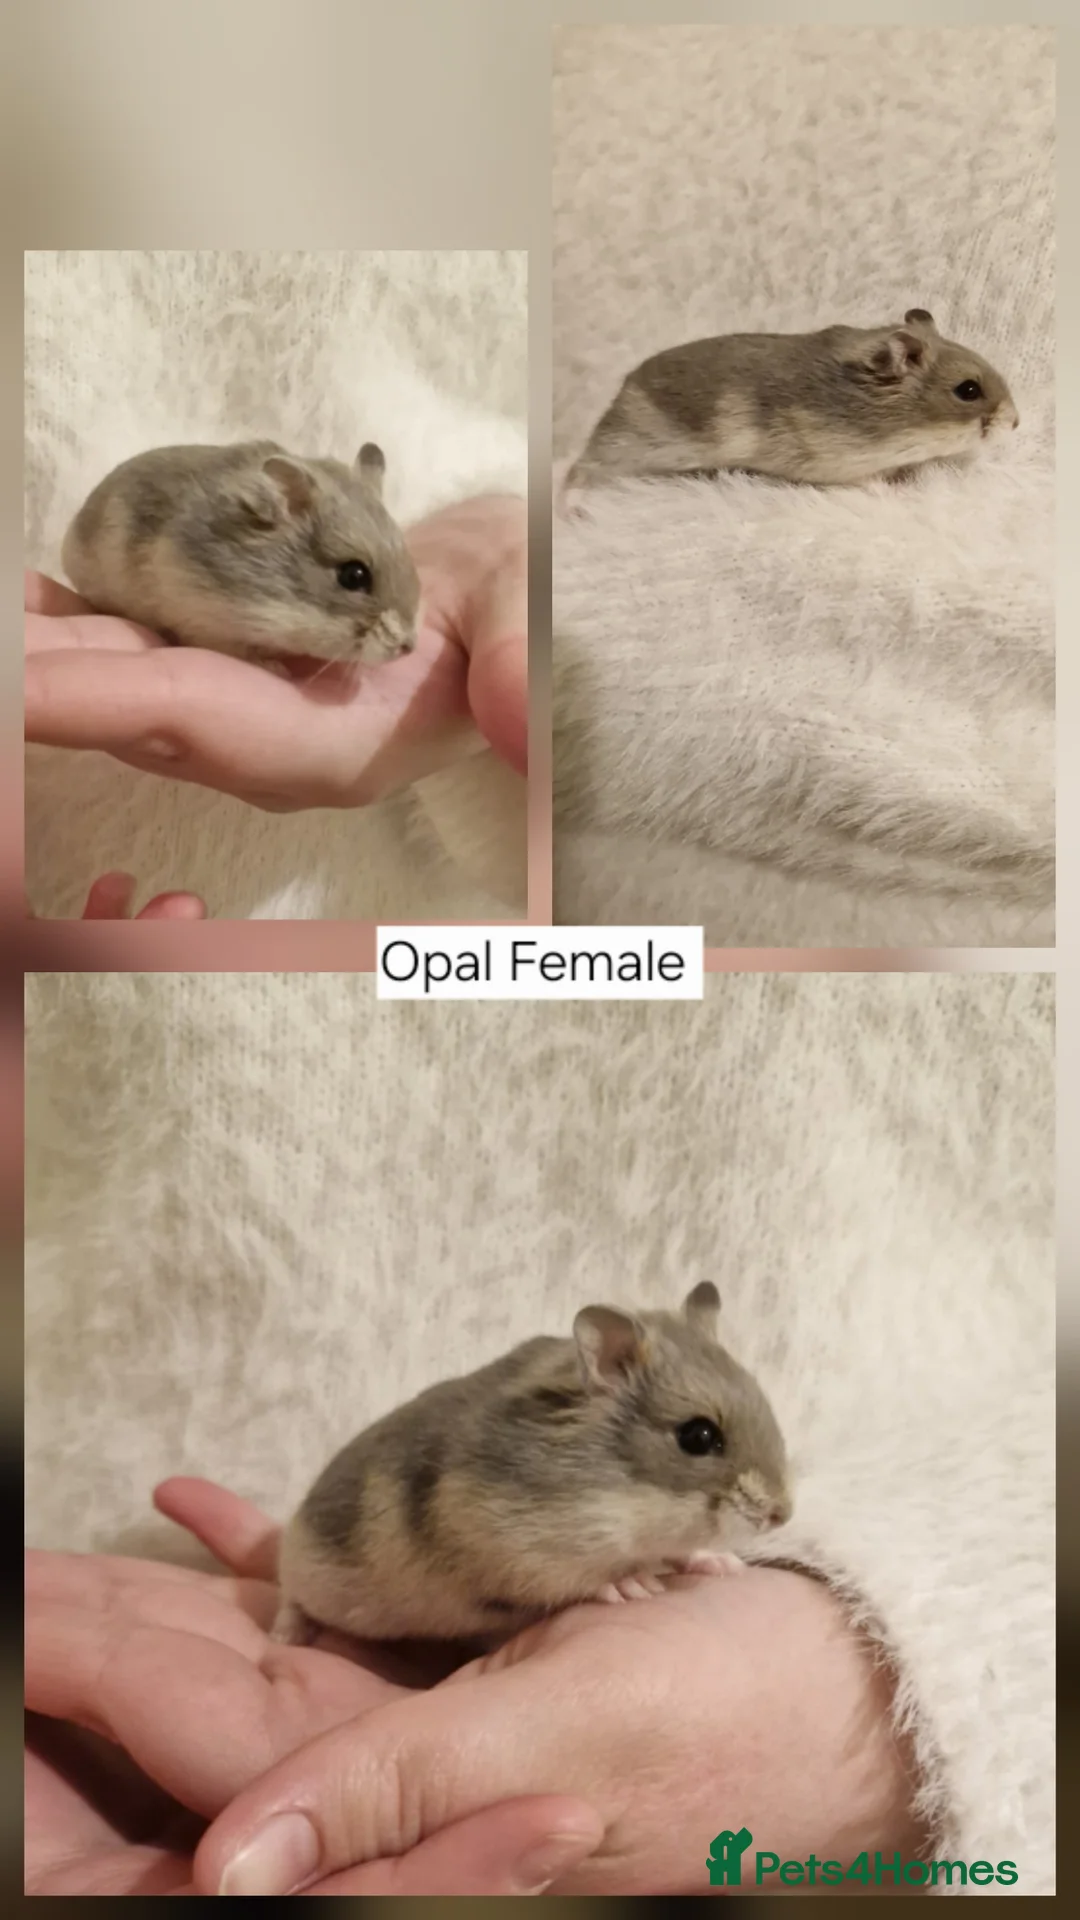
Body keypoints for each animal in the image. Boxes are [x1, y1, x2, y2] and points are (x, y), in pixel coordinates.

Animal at [271, 1280, 793, 1648]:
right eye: (699, 1437)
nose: (782, 1515)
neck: (619, 1492)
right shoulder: (514, 1549)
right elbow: (589, 1576)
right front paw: (634, 1584)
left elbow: (685, 1549)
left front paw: (723, 1564)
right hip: (303, 1567)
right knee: (289, 1594)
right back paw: (285, 1636)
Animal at [565, 309, 1019, 491]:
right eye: (968, 390)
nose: (1015, 423)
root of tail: (624, 389)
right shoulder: (835, 462)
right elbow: (868, 480)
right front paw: (891, 488)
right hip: (627, 446)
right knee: (576, 471)